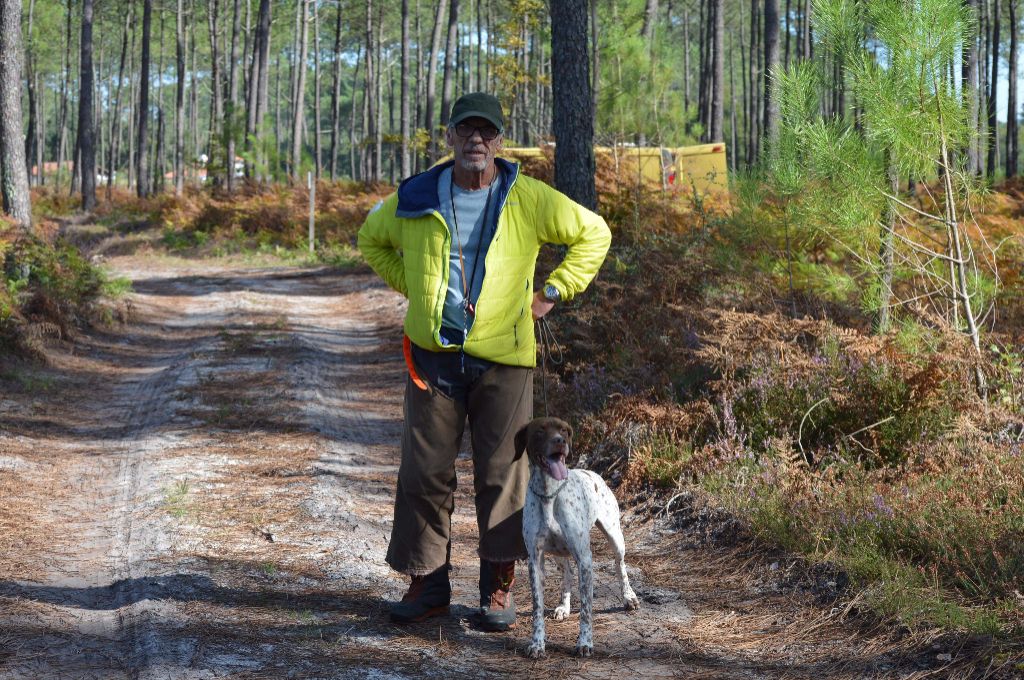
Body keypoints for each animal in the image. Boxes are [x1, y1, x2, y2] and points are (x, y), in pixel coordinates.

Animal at [517, 417, 640, 658]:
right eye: (540, 431)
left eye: (564, 430)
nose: (560, 441)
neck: (549, 493)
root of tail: (592, 472)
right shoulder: (535, 559)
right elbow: (537, 608)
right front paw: (537, 644)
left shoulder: (585, 559)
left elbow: (586, 609)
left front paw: (585, 643)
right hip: (557, 552)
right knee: (567, 573)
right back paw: (563, 607)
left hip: (615, 537)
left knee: (620, 566)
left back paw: (628, 597)